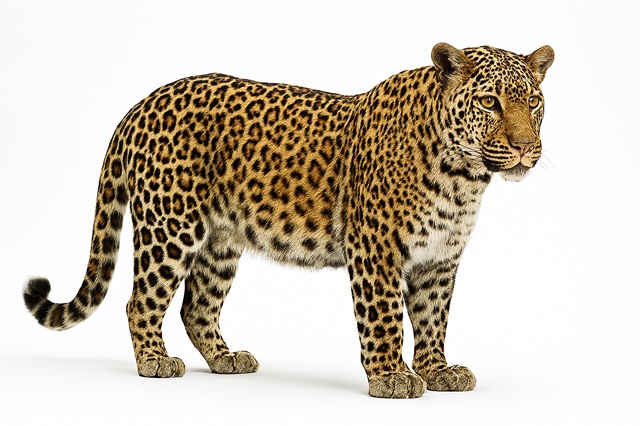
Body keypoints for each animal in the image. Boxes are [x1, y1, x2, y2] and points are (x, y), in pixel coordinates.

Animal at [23, 42, 554, 398]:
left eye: (533, 102)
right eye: (489, 103)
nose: (527, 146)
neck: (464, 176)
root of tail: (140, 105)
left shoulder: (439, 259)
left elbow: (432, 317)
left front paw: (437, 370)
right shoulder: (375, 249)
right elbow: (384, 316)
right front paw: (391, 376)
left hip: (220, 242)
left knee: (197, 307)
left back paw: (226, 359)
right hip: (169, 226)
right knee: (141, 301)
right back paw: (154, 361)